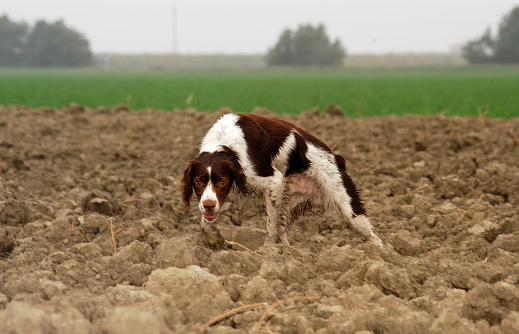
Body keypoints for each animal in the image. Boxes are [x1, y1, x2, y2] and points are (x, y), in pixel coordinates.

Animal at [181, 113, 384, 247]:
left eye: (222, 181)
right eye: (198, 182)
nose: (208, 206)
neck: (224, 144)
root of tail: (336, 158)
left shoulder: (273, 181)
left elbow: (270, 225)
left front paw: (268, 251)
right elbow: (204, 222)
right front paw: (214, 238)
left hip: (347, 205)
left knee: (371, 234)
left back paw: (381, 254)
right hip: (290, 203)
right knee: (284, 229)